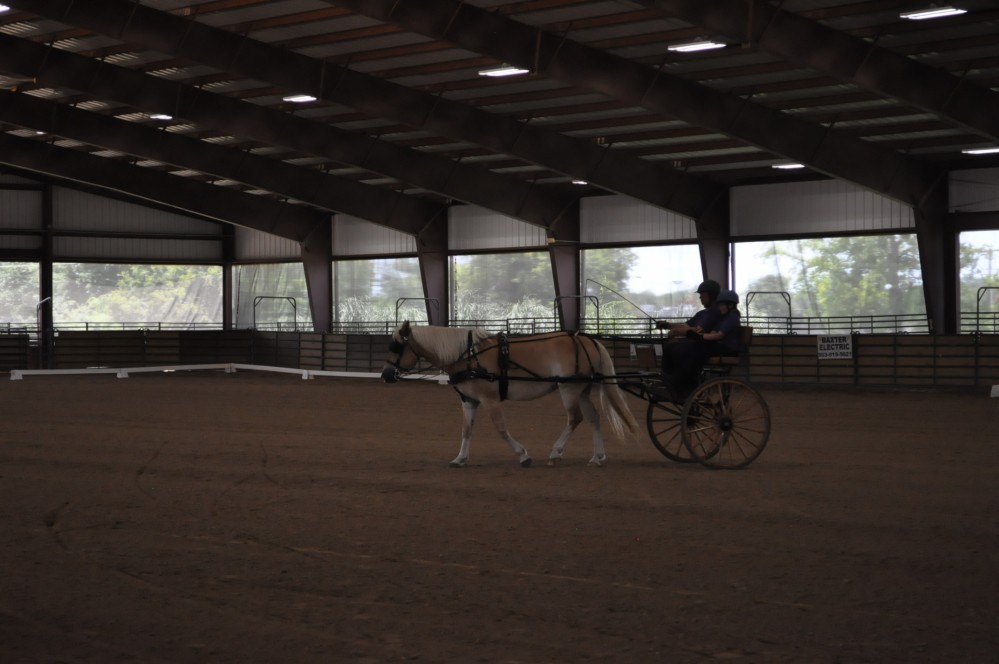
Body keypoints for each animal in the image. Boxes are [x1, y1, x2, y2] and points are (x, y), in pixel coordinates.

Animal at [378, 320, 636, 466]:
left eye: (397, 346)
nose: (386, 374)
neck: (468, 356)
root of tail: (586, 339)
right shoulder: (469, 401)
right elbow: (466, 430)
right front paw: (460, 458)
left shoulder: (490, 399)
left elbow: (501, 429)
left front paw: (523, 455)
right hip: (582, 389)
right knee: (593, 418)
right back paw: (597, 457)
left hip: (568, 389)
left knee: (575, 418)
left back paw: (556, 452)